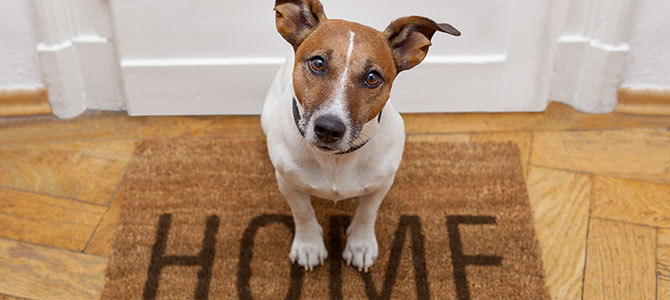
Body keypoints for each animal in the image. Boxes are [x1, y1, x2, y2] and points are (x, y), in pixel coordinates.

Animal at [262, 0, 462, 272]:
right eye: (317, 63)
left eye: (372, 78)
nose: (329, 128)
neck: (336, 160)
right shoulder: (288, 182)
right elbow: (302, 212)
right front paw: (308, 245)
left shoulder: (382, 183)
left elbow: (367, 212)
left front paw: (361, 245)